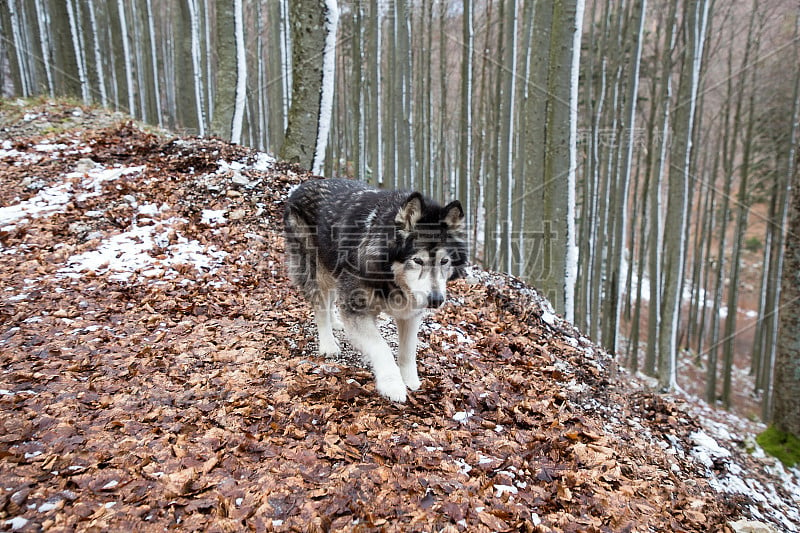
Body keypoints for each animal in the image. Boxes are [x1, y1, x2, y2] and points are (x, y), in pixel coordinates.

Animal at [282, 177, 466, 402]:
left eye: (444, 261)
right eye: (417, 260)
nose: (436, 300)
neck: (391, 278)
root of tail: (302, 185)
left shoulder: (410, 315)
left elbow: (408, 351)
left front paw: (410, 380)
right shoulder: (357, 310)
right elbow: (382, 347)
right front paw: (393, 385)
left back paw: (336, 322)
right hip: (317, 273)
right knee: (320, 308)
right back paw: (328, 345)